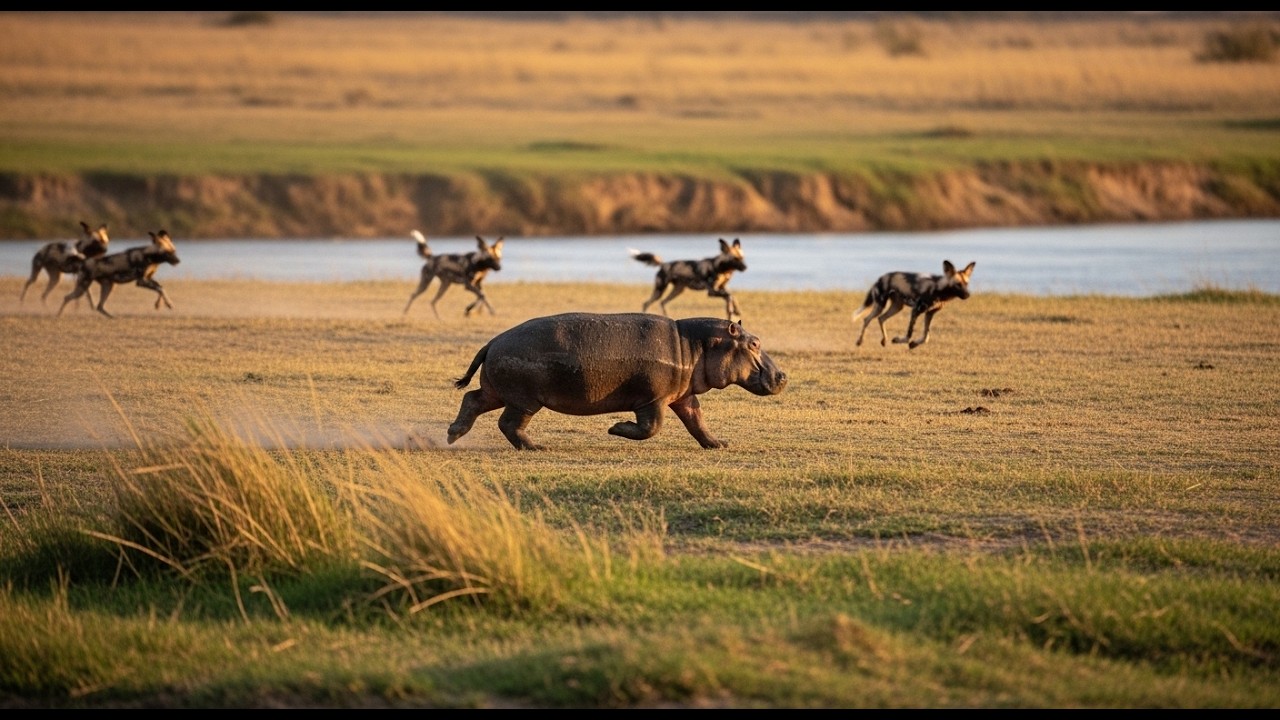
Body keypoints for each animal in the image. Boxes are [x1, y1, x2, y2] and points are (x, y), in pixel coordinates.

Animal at [445, 312, 788, 450]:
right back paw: (537, 447)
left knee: (472, 399)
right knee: (508, 423)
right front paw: (615, 429)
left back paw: (453, 434)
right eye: (754, 343)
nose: (783, 376)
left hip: (498, 391)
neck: (693, 345)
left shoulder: (682, 396)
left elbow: (697, 421)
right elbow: (651, 428)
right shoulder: (653, 399)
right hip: (525, 399)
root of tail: (492, 342)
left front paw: (718, 444)